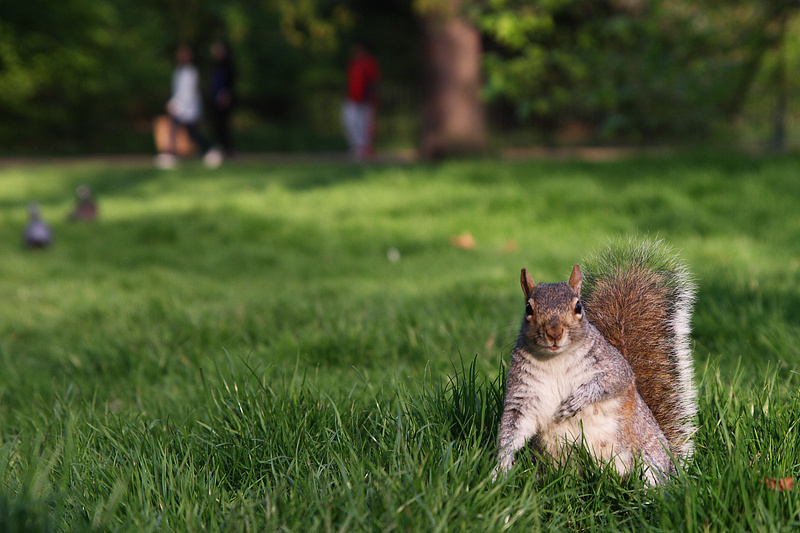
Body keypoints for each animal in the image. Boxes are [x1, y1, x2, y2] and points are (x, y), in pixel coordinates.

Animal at [490, 239, 696, 484]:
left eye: (578, 307)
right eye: (528, 308)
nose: (554, 333)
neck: (555, 359)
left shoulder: (613, 365)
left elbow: (613, 380)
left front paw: (579, 399)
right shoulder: (523, 391)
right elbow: (514, 426)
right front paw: (500, 468)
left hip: (647, 462)